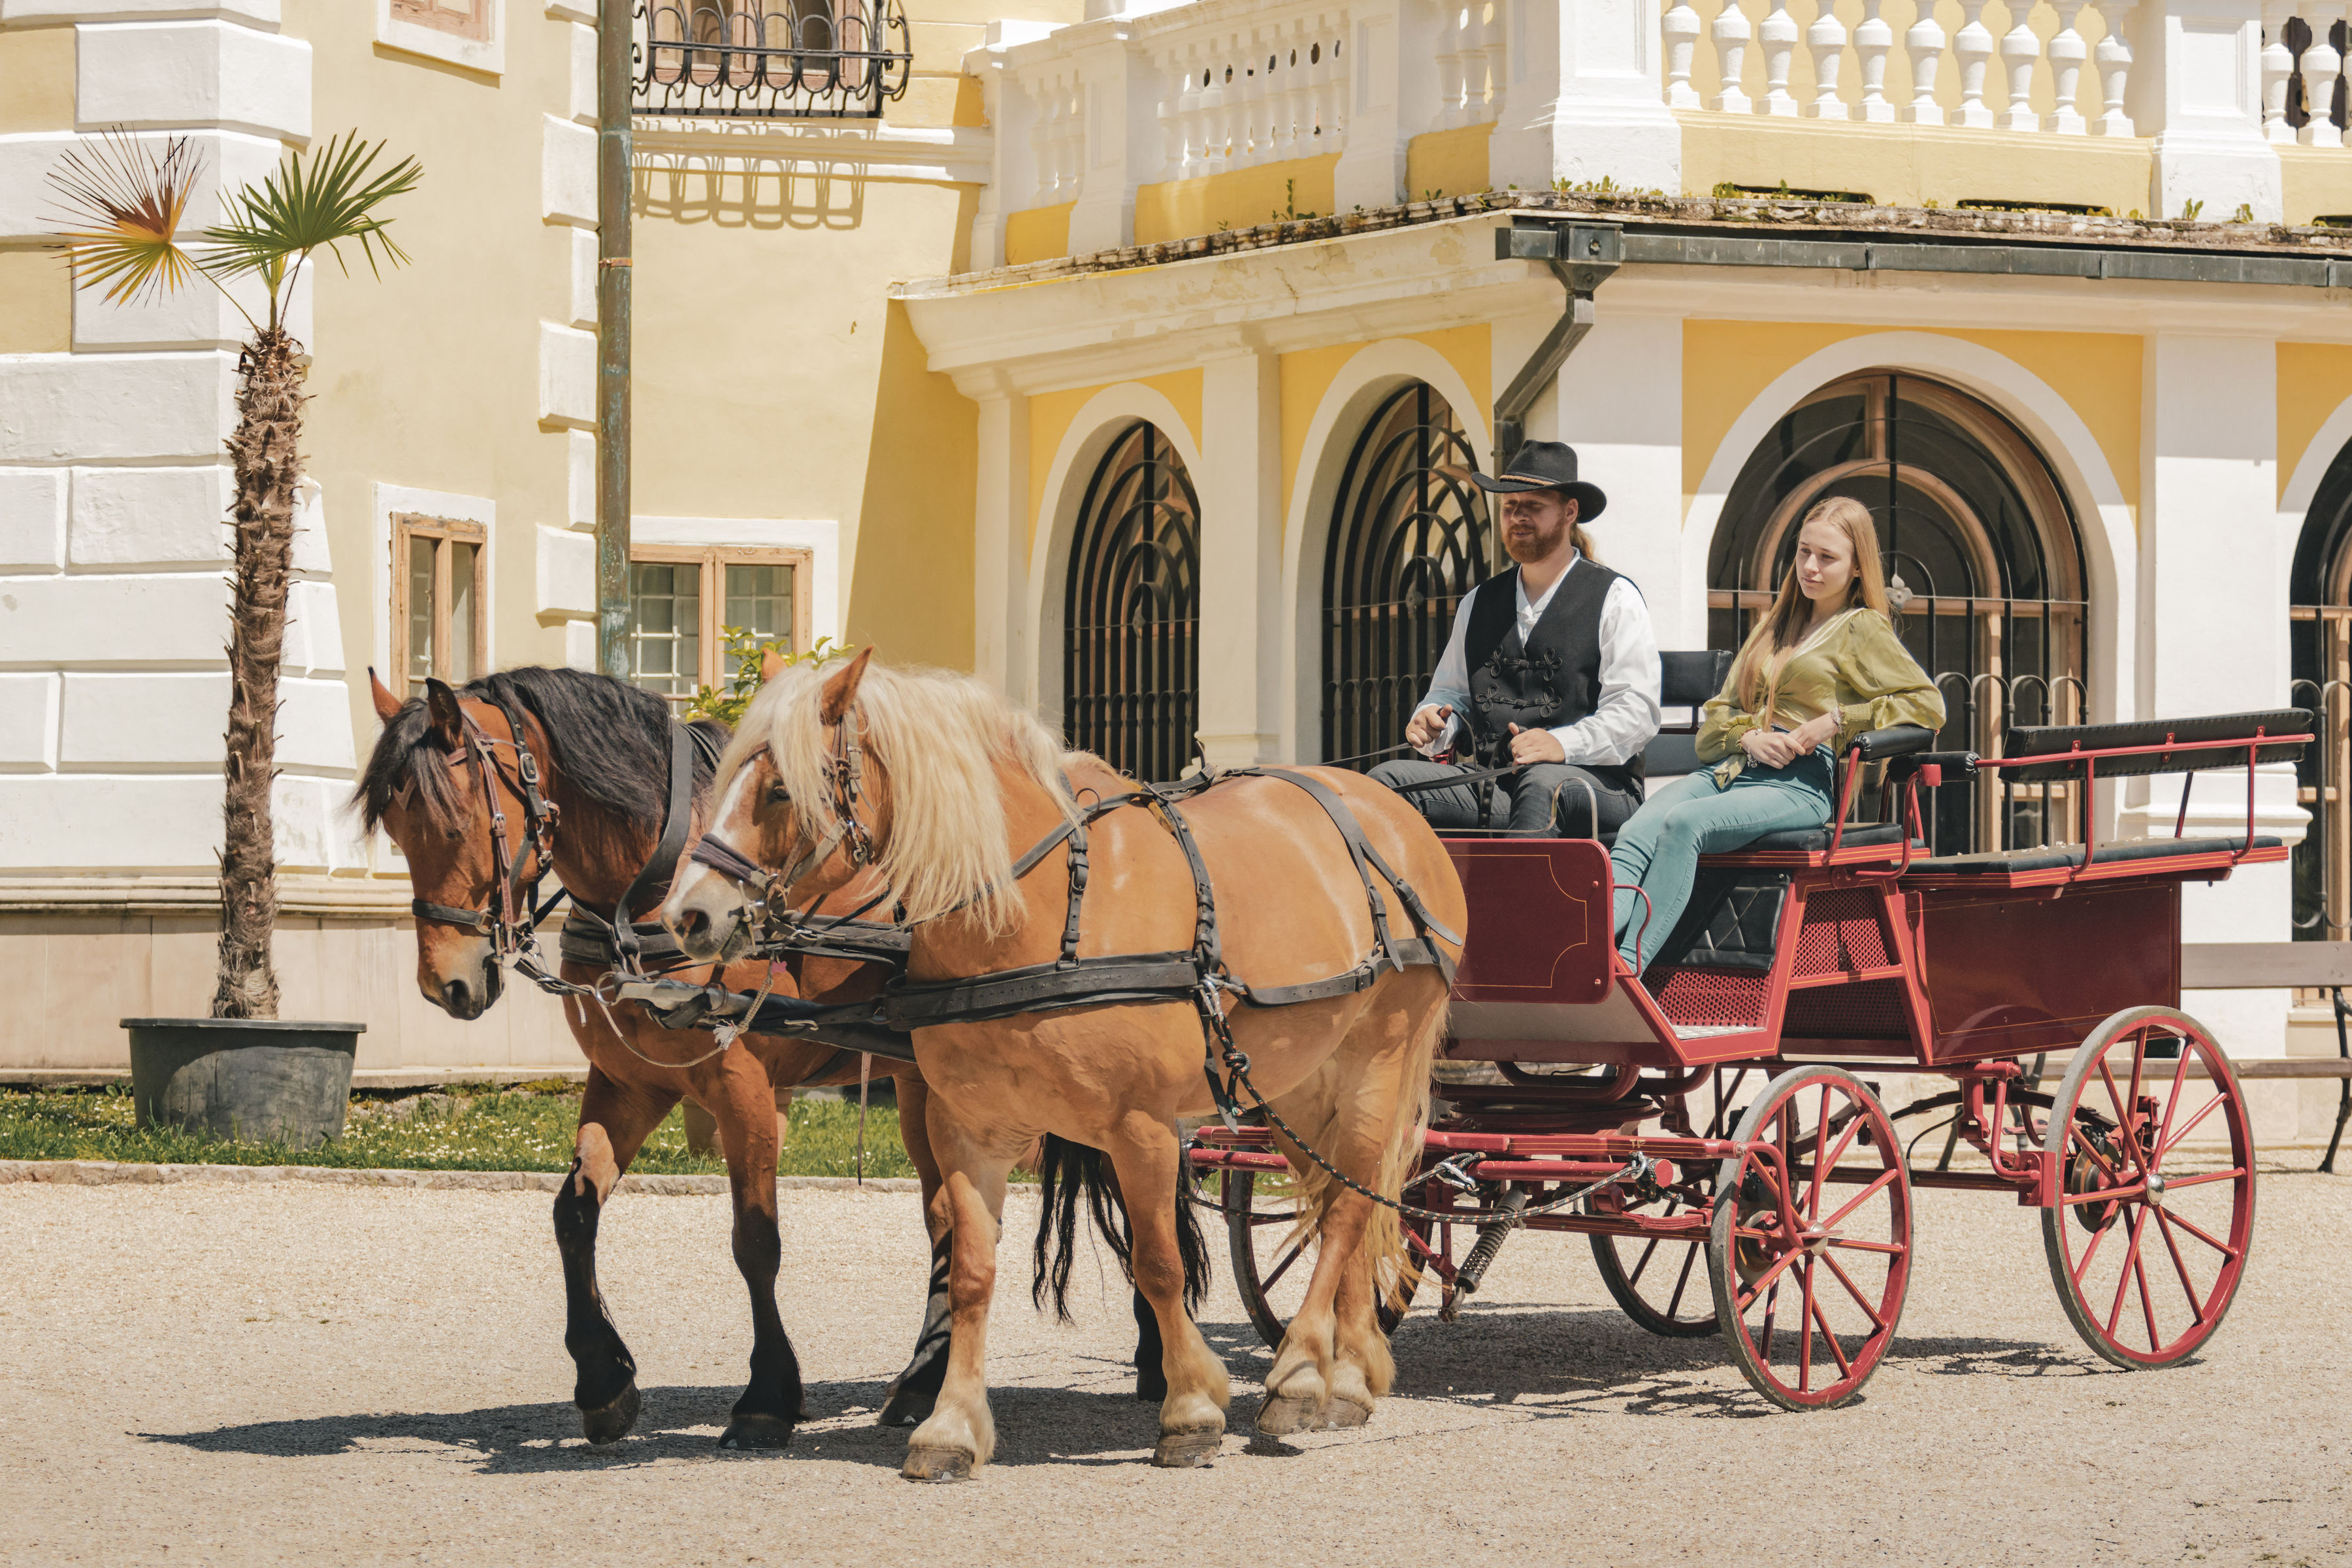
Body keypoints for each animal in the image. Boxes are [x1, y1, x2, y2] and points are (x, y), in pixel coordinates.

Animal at [357, 662, 945, 1448]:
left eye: (454, 826)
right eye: (396, 833)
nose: (444, 984)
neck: (648, 893)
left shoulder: (744, 1086)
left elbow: (755, 1240)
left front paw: (767, 1395)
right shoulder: (626, 1081)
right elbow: (574, 1213)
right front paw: (602, 1376)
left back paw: (927, 1379)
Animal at [663, 649, 1458, 1476]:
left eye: (781, 788)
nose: (687, 915)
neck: (1039, 916)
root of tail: (1390, 810)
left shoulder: (1143, 1128)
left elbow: (1160, 1263)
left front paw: (1189, 1407)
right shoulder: (967, 1129)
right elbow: (971, 1270)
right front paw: (950, 1423)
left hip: (1374, 1065)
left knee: (1348, 1209)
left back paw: (1302, 1372)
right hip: (1294, 1084)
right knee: (1343, 1200)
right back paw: (1351, 1372)